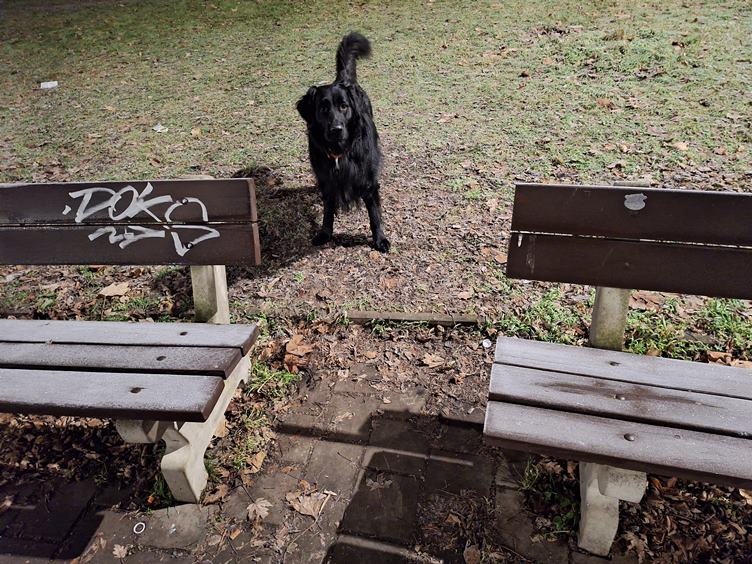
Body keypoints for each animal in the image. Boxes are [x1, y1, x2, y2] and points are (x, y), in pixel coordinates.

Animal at [296, 32, 389, 252]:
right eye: (323, 109)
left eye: (344, 106)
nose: (336, 129)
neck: (340, 152)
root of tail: (343, 79)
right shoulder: (327, 180)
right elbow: (328, 210)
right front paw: (325, 233)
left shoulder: (368, 181)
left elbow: (375, 214)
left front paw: (380, 239)